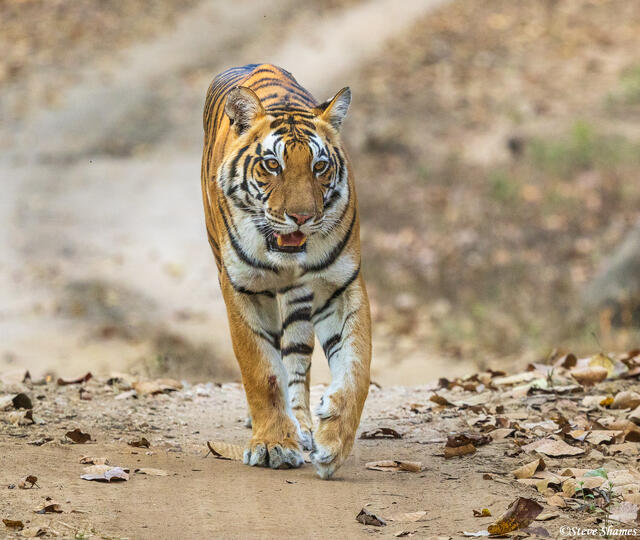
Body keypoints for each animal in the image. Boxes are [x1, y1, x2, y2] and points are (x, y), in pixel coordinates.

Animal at [200, 63, 371, 479]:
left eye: (319, 166)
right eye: (272, 165)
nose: (302, 217)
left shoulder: (340, 284)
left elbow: (356, 368)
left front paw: (332, 443)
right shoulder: (242, 288)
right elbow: (261, 370)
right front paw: (273, 446)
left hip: (299, 301)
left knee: (296, 358)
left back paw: (305, 427)